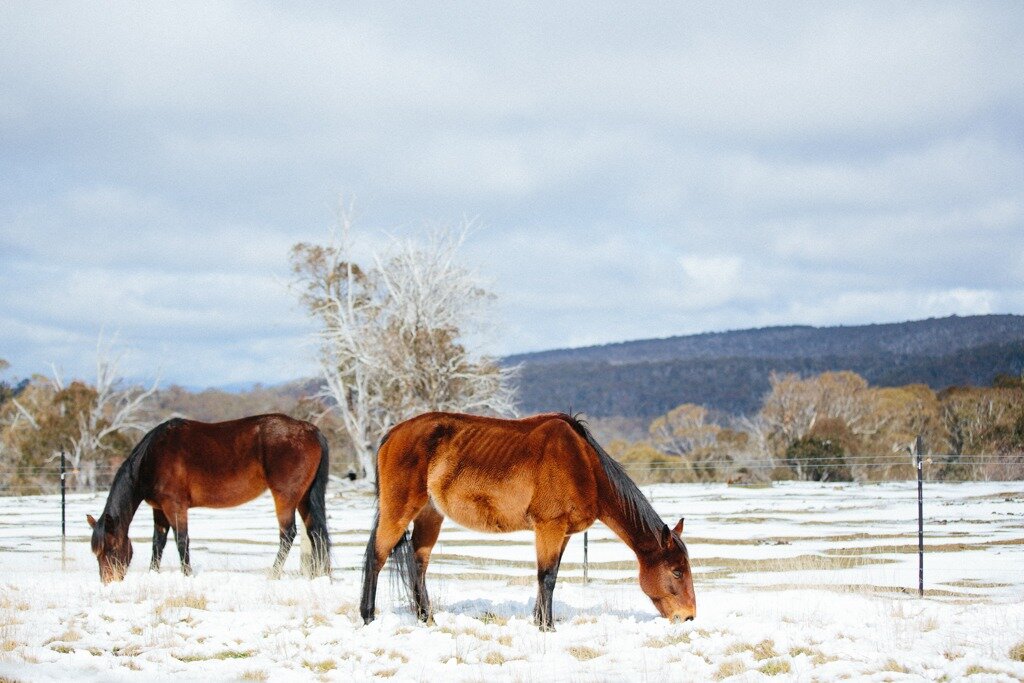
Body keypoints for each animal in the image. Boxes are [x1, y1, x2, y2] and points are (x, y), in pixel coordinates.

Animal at [87, 413, 331, 585]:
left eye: (111, 548)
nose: (108, 582)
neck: (152, 457)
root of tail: (310, 429)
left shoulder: (175, 506)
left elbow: (181, 540)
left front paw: (187, 575)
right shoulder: (159, 509)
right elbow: (158, 543)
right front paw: (153, 574)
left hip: (285, 497)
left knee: (288, 534)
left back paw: (273, 575)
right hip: (304, 498)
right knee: (316, 534)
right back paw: (320, 576)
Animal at [360, 411, 696, 630]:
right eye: (677, 571)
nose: (689, 616)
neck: (584, 465)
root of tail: (391, 435)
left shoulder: (563, 534)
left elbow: (549, 575)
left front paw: (540, 620)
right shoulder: (549, 527)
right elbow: (546, 576)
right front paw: (547, 627)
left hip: (430, 515)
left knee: (418, 563)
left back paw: (426, 619)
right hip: (398, 510)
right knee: (376, 557)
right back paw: (368, 617)